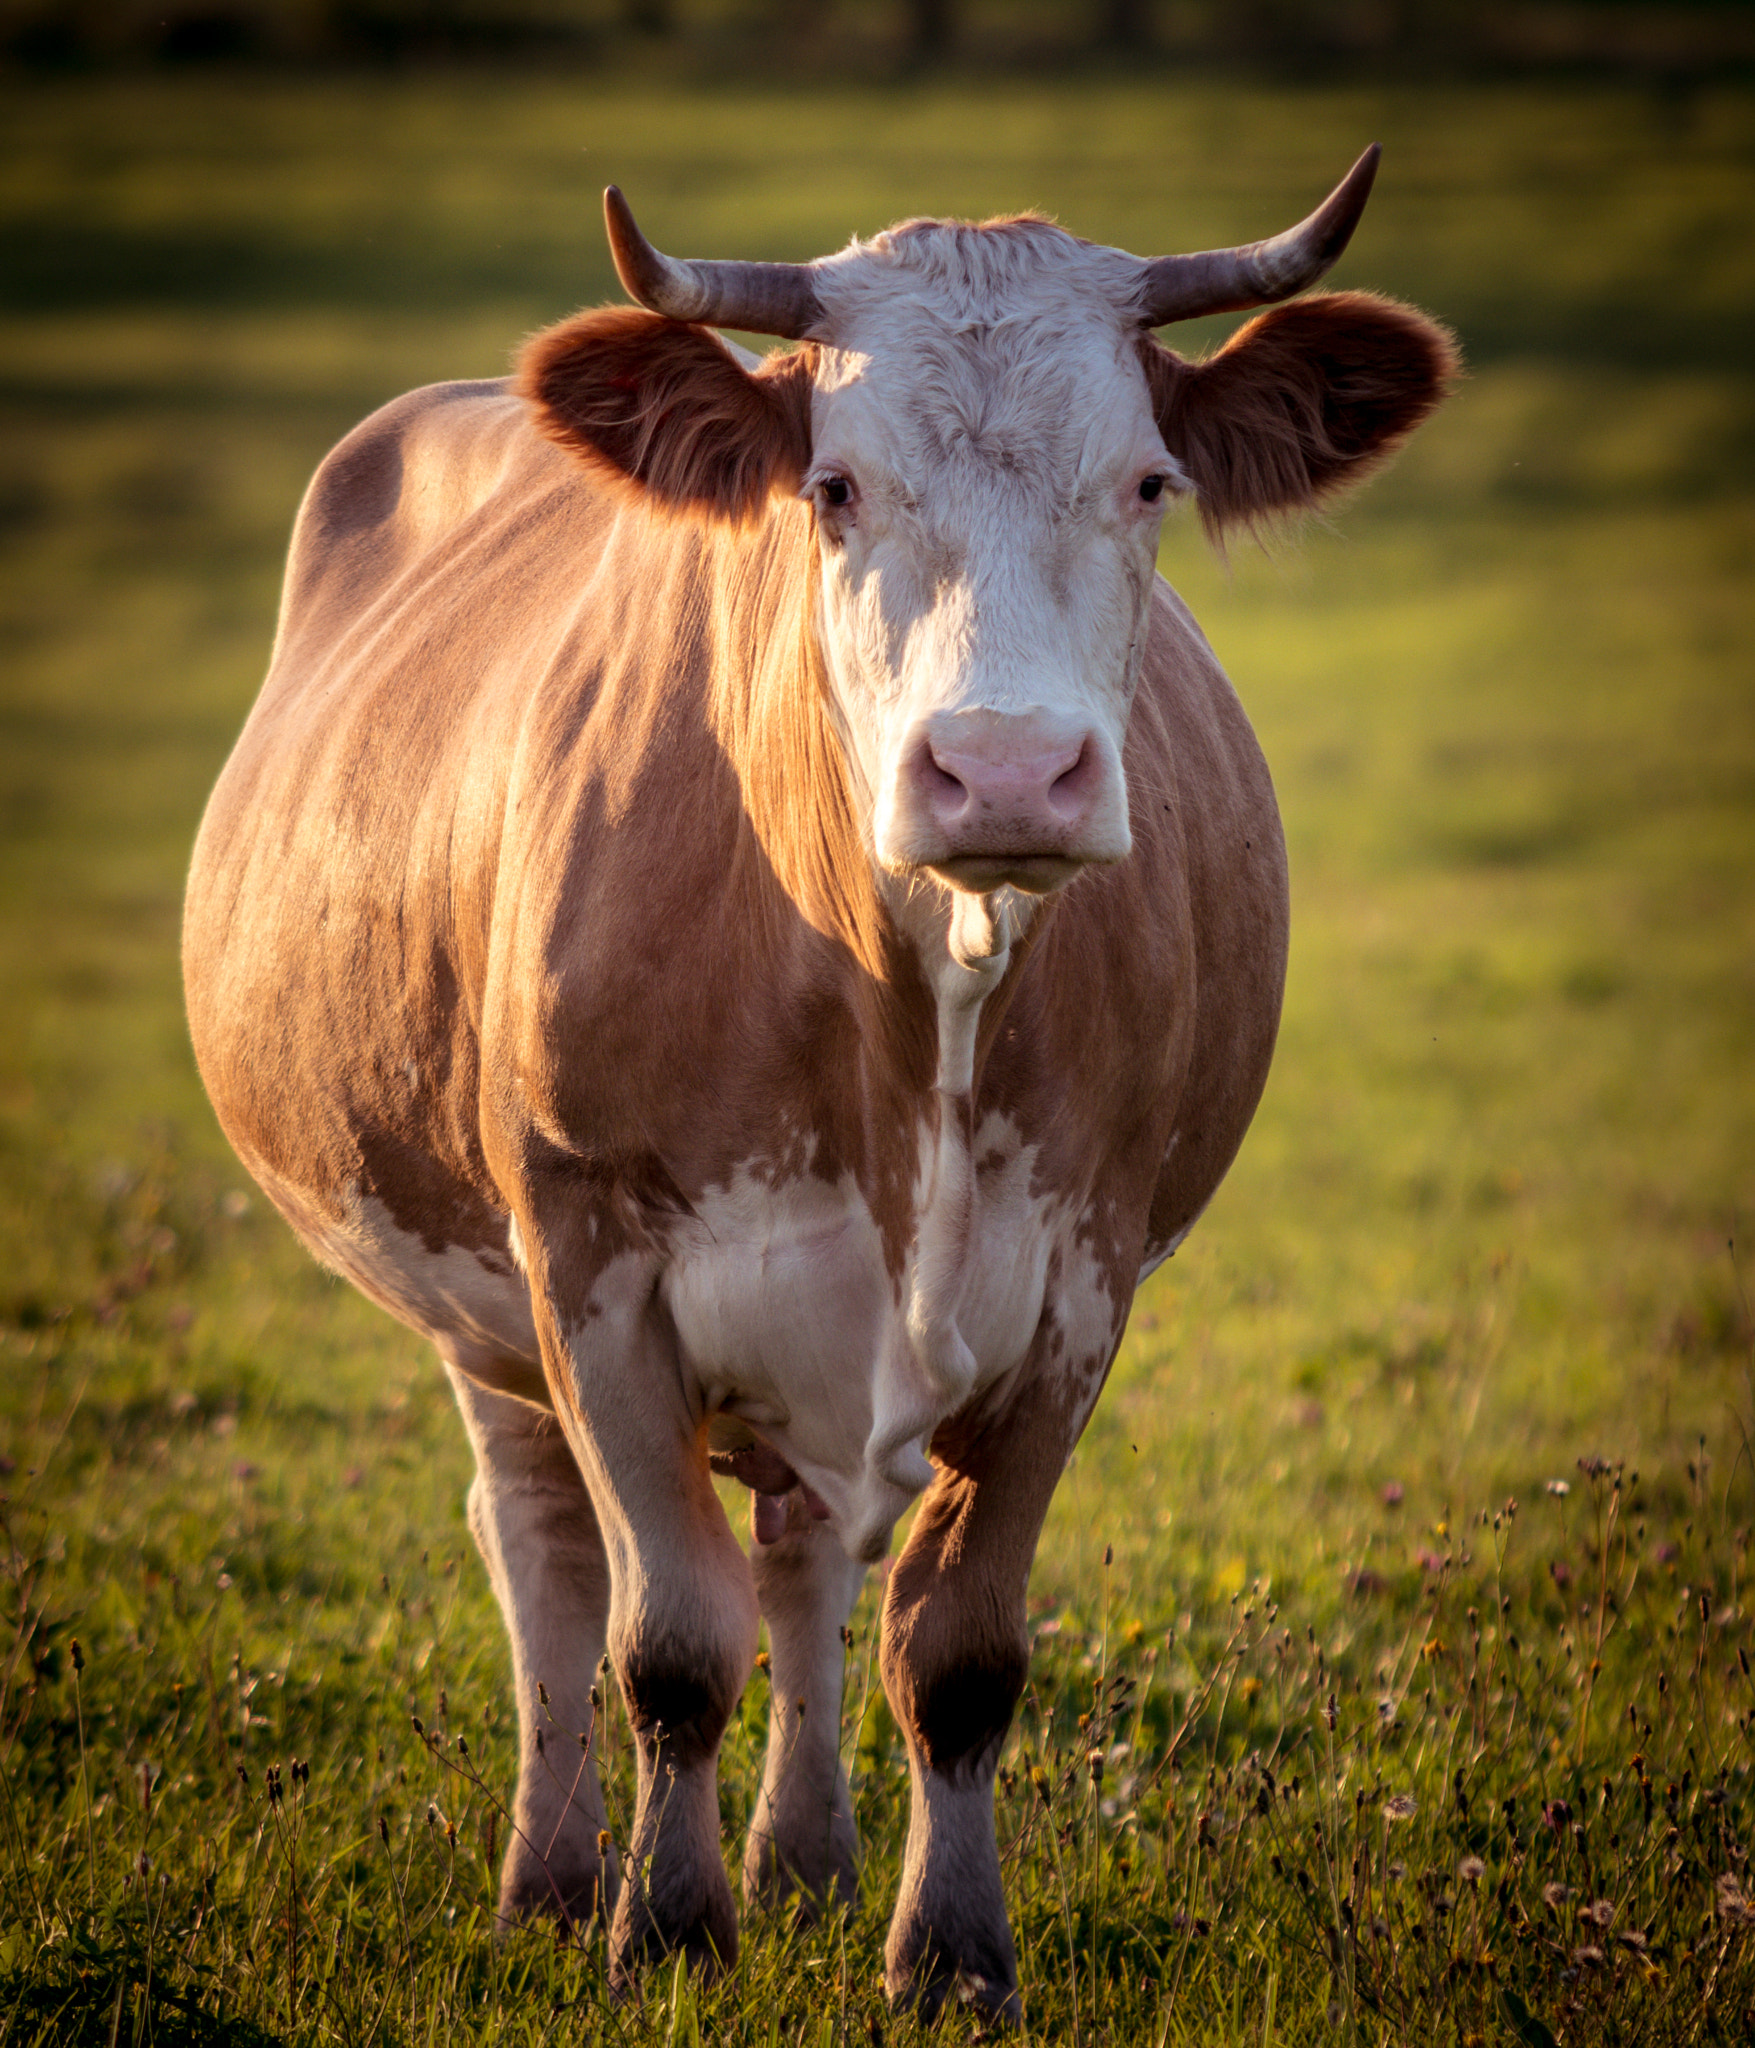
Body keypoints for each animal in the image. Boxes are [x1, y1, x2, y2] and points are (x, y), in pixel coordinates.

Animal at [183, 150, 1454, 2020]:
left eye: (1148, 480)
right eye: (834, 488)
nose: (1004, 769)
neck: (904, 1018)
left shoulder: (1078, 1286)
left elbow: (958, 1648)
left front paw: (949, 1957)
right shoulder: (591, 1265)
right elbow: (664, 1639)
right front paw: (663, 1928)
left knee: (793, 1549)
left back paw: (802, 1861)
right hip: (467, 1299)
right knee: (543, 1555)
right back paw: (552, 1879)